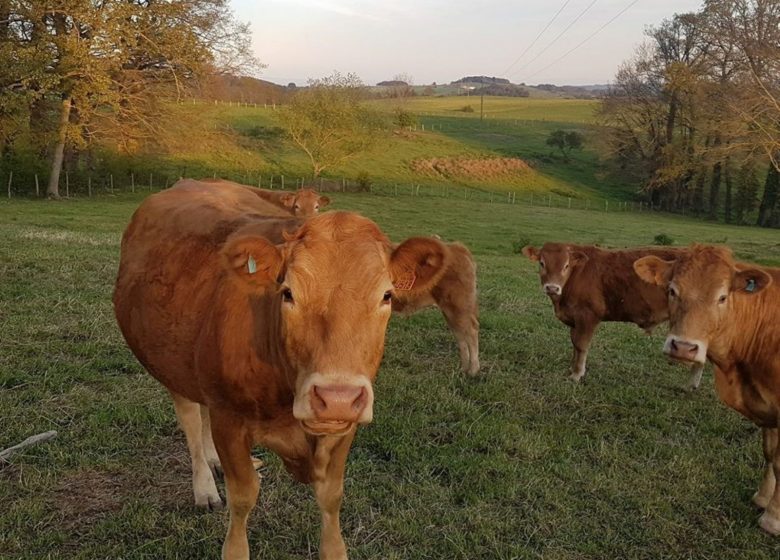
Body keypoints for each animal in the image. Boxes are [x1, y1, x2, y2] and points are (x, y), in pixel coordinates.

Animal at [112, 179, 448, 560]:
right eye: (288, 293)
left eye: (387, 296)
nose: (336, 398)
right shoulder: (229, 419)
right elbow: (244, 496)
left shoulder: (343, 427)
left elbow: (332, 496)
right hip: (171, 365)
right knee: (191, 420)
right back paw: (205, 487)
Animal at [520, 243, 704, 388]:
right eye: (542, 263)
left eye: (566, 266)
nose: (552, 287)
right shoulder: (575, 320)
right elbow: (574, 344)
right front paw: (572, 369)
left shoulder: (588, 317)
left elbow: (581, 346)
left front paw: (577, 374)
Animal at [632, 247, 780, 536]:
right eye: (672, 290)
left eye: (722, 297)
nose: (683, 347)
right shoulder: (766, 405)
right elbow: (770, 453)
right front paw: (762, 498)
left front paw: (773, 518)